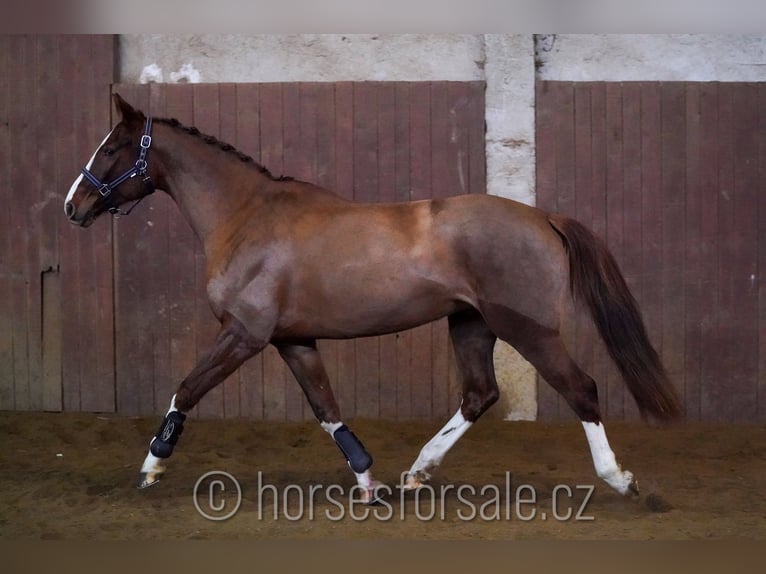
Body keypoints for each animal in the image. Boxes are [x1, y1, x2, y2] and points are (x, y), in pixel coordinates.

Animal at [63, 94, 680, 504]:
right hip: (470, 324)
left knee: (582, 389)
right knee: (479, 394)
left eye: (112, 148)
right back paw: (418, 472)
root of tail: (544, 217)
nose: (73, 206)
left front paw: (151, 467)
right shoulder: (293, 340)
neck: (246, 217)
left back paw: (618, 478)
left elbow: (187, 389)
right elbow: (327, 411)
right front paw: (367, 480)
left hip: (528, 329)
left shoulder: (244, 334)